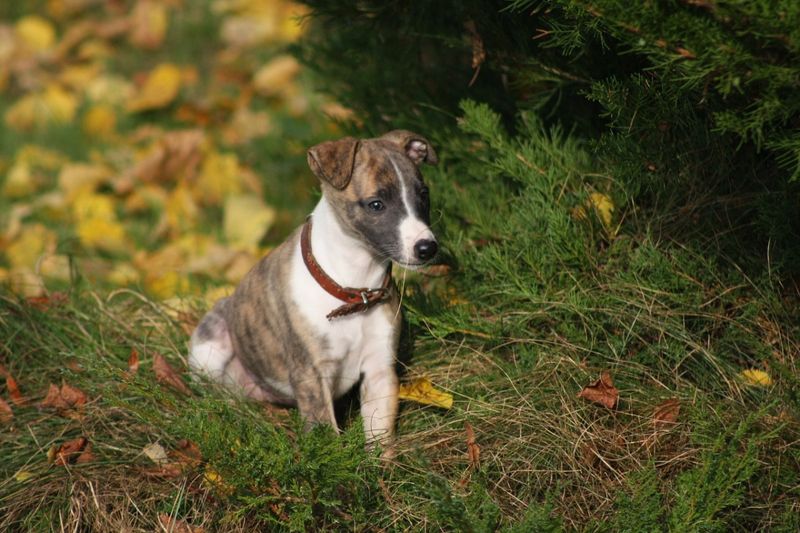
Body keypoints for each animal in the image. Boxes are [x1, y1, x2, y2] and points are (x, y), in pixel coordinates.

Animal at [189, 130, 438, 444]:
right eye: (376, 204)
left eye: (423, 195)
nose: (427, 248)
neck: (353, 290)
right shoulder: (311, 375)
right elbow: (326, 437)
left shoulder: (379, 370)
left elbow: (379, 438)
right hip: (210, 347)